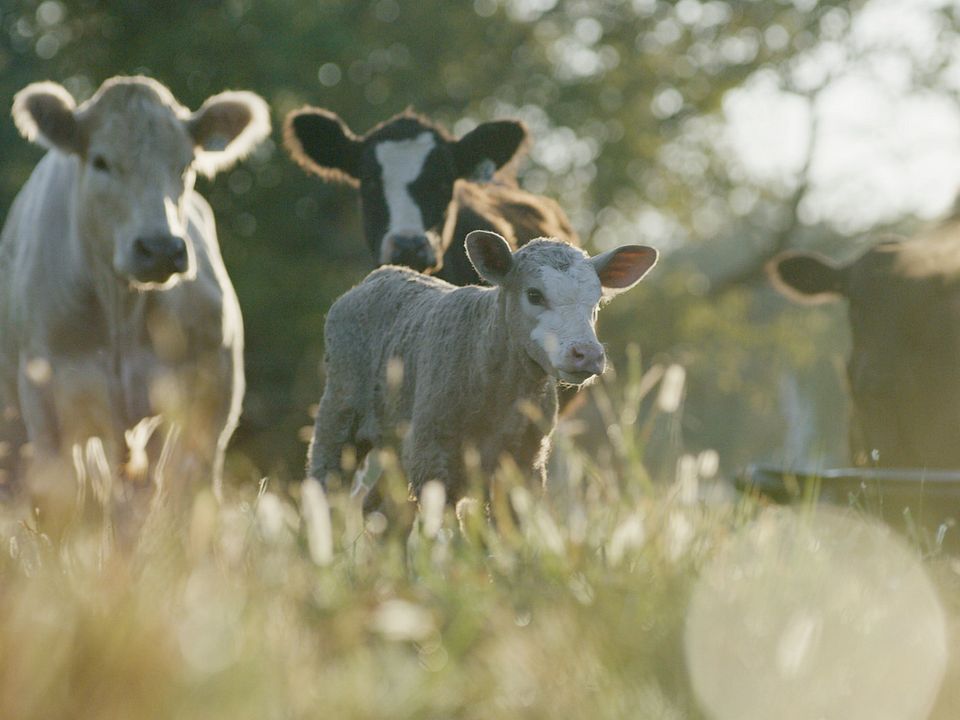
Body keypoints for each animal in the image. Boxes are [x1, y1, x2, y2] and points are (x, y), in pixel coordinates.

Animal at [1, 76, 270, 521]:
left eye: (186, 165)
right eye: (101, 162)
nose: (160, 248)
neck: (121, 312)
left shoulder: (212, 396)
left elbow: (189, 499)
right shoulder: (47, 407)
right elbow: (60, 504)